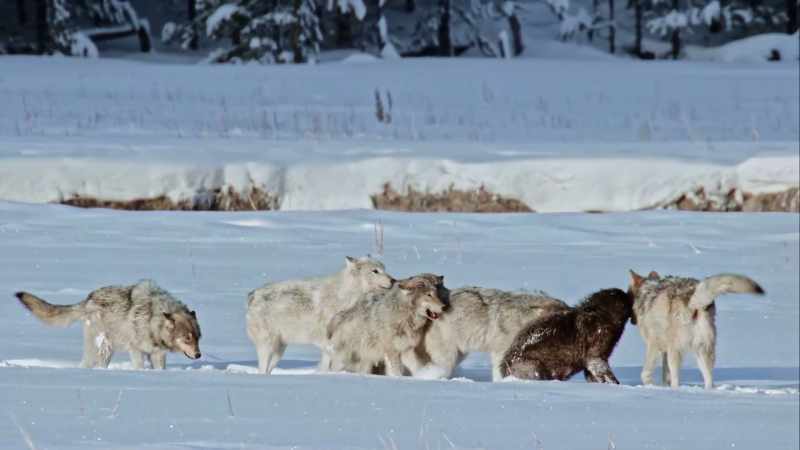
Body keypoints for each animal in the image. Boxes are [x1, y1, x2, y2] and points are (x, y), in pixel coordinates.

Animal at [14, 280, 201, 369]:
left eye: (197, 338)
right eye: (187, 338)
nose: (199, 355)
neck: (152, 320)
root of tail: (88, 299)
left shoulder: (158, 354)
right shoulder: (136, 350)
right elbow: (140, 367)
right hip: (103, 349)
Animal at [246, 256, 395, 374]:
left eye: (384, 268)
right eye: (375, 271)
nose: (393, 280)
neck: (347, 297)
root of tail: (253, 294)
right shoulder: (330, 344)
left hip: (279, 350)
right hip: (268, 346)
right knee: (262, 370)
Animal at [500, 288, 633, 383]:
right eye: (621, 298)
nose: (629, 295)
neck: (602, 316)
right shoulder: (595, 354)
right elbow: (601, 369)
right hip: (533, 367)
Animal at [629, 270, 764, 389]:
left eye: (627, 294)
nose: (631, 321)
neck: (647, 291)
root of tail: (692, 299)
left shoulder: (655, 346)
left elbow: (645, 374)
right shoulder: (664, 351)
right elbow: (665, 376)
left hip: (677, 351)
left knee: (676, 380)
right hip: (703, 351)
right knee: (709, 379)